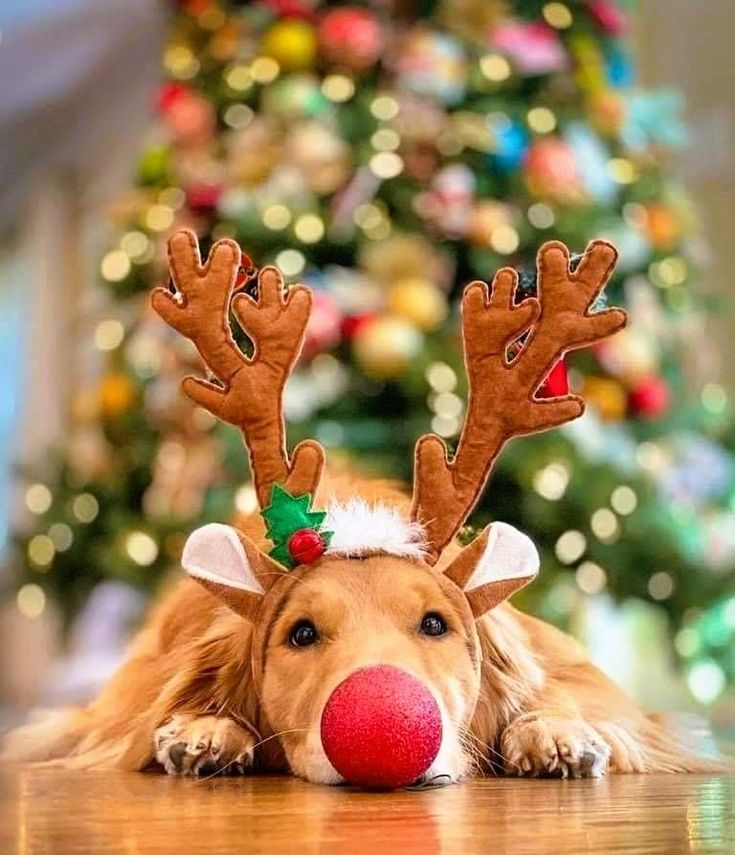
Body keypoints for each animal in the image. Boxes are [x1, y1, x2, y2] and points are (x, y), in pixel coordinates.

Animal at [1, 232, 724, 784]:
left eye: (435, 624)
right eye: (300, 634)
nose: (384, 728)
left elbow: (567, 696)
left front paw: (553, 733)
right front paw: (204, 730)